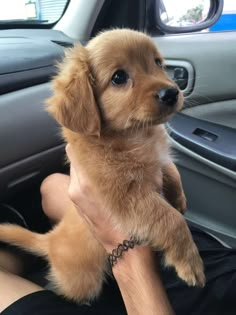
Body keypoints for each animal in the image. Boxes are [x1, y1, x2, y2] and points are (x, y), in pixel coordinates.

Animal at [0, 29, 205, 304]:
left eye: (158, 63)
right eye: (119, 77)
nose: (171, 93)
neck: (135, 136)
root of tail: (51, 240)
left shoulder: (157, 160)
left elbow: (170, 169)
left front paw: (179, 198)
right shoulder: (127, 196)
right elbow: (170, 219)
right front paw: (190, 262)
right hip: (84, 282)